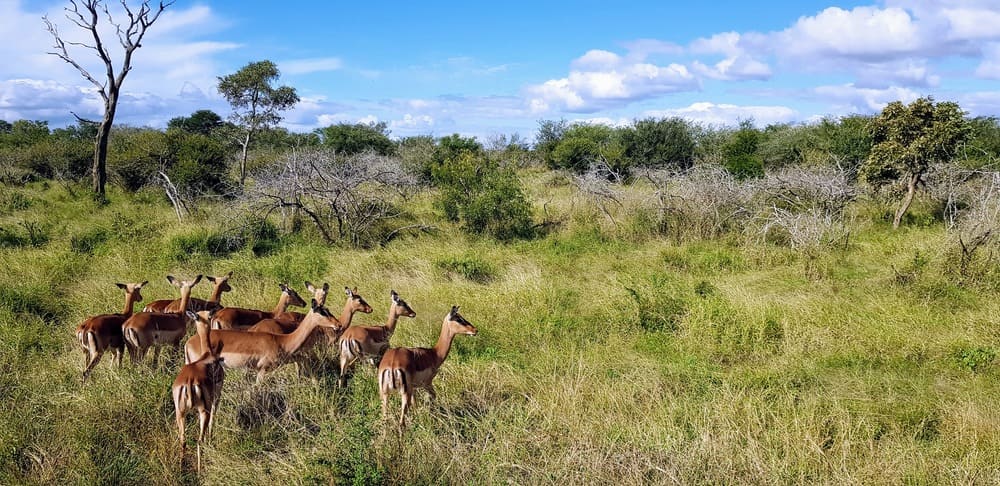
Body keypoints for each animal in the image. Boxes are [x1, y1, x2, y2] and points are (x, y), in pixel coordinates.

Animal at [173, 310, 226, 472]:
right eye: (209, 315)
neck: (207, 355)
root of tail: (189, 381)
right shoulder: (217, 394)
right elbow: (215, 414)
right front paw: (211, 437)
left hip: (180, 413)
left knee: (183, 440)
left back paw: (181, 468)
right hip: (203, 410)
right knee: (199, 440)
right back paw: (199, 470)